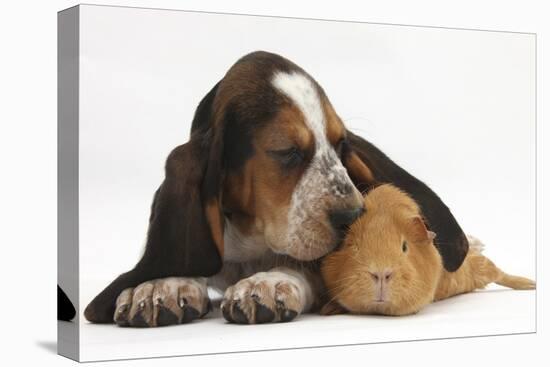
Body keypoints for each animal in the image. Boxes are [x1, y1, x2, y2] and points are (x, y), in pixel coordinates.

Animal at [85, 49, 470, 328]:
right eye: (286, 151)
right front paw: (160, 285)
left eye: (341, 144)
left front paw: (266, 284)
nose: (354, 216)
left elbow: (300, 266)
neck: (250, 244)